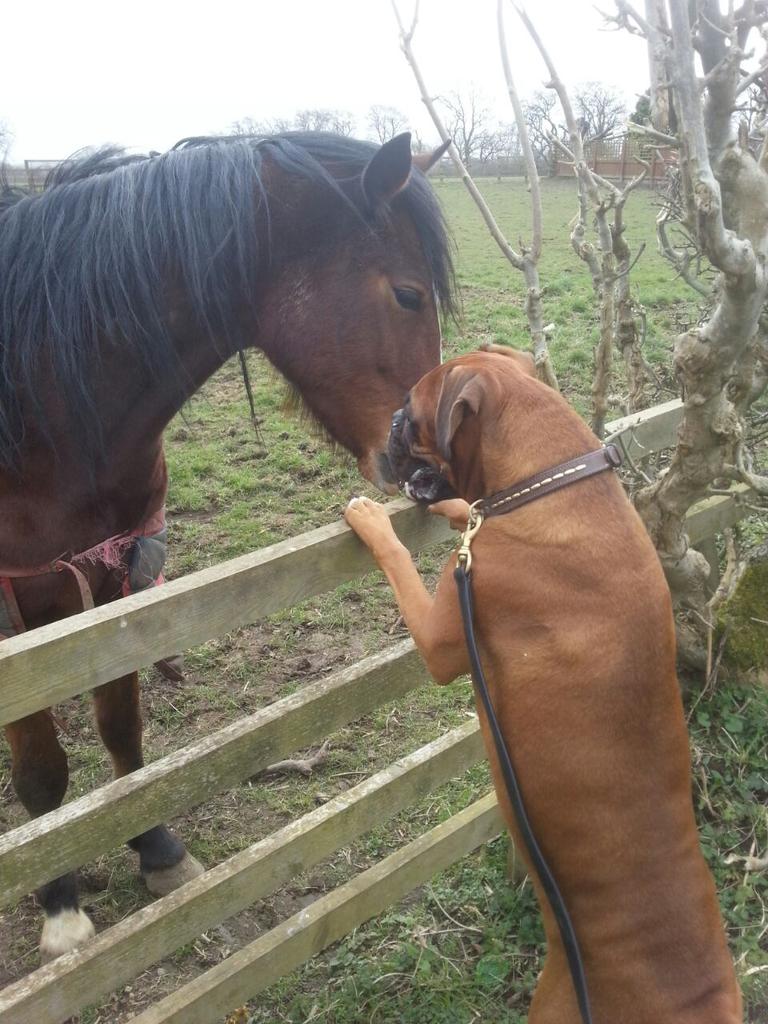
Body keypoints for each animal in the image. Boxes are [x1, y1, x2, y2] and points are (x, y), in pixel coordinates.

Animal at [0, 130, 454, 959]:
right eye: (407, 294)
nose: (432, 472)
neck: (40, 404)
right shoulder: (13, 606)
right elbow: (42, 771)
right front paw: (59, 906)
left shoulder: (111, 579)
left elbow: (121, 725)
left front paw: (154, 848)